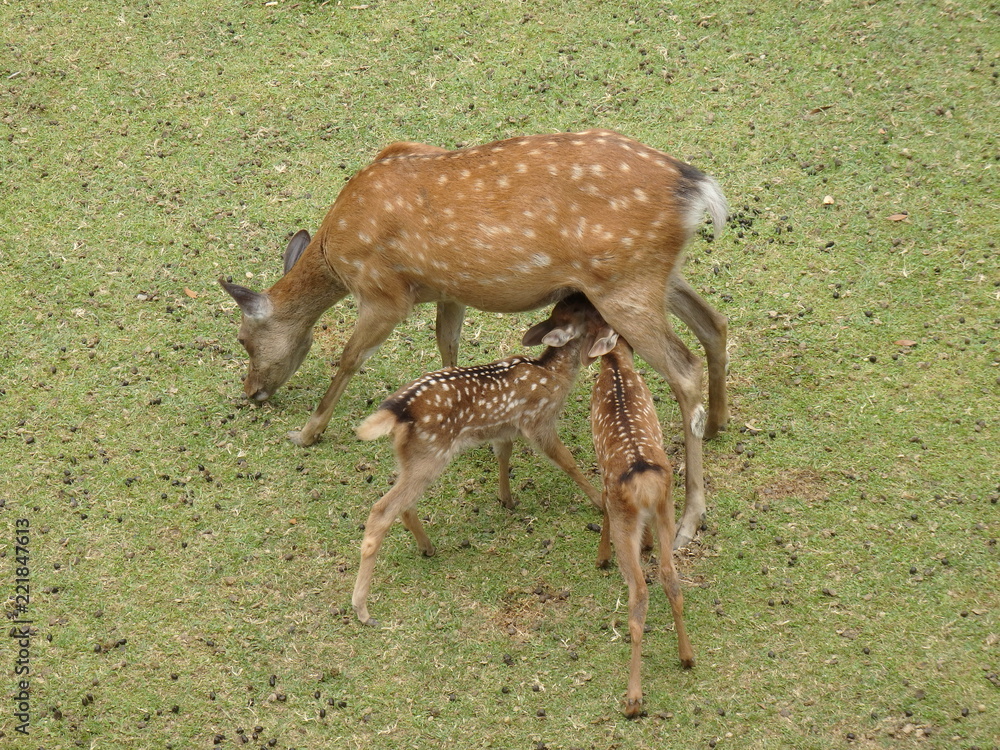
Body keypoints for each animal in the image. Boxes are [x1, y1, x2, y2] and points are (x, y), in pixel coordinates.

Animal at [221, 129, 728, 548]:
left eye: (245, 339)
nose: (251, 391)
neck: (336, 250)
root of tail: (699, 190)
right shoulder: (449, 290)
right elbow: (447, 344)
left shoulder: (384, 294)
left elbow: (349, 358)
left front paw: (306, 433)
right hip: (654, 277)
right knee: (715, 323)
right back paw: (719, 424)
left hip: (623, 284)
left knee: (685, 370)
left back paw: (689, 519)